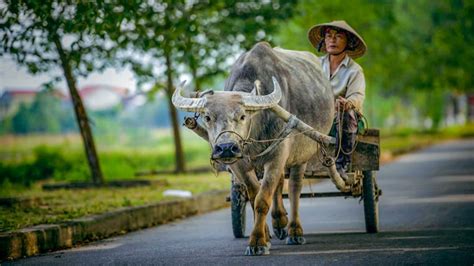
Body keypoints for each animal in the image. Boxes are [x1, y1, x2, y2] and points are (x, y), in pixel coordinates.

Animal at [173, 42, 334, 256]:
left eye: (242, 116)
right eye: (207, 117)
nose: (226, 148)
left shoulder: (277, 155)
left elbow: (262, 200)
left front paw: (257, 242)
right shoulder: (239, 163)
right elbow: (254, 195)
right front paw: (265, 236)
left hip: (302, 156)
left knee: (294, 189)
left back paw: (294, 231)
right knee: (279, 184)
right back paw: (279, 222)